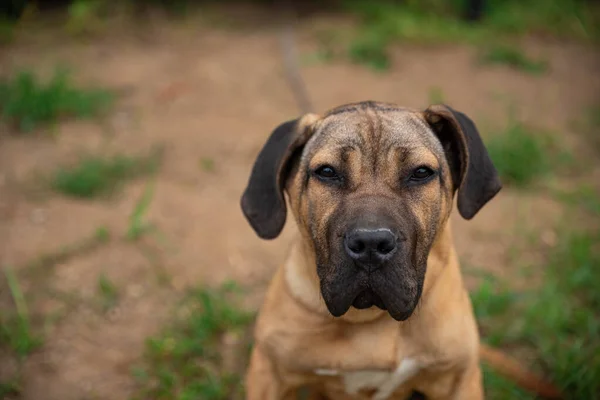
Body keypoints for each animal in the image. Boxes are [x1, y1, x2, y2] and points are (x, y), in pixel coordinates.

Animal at [240, 101, 564, 398]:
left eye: (421, 172)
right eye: (327, 172)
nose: (371, 244)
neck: (371, 319)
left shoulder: (459, 379)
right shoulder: (268, 373)